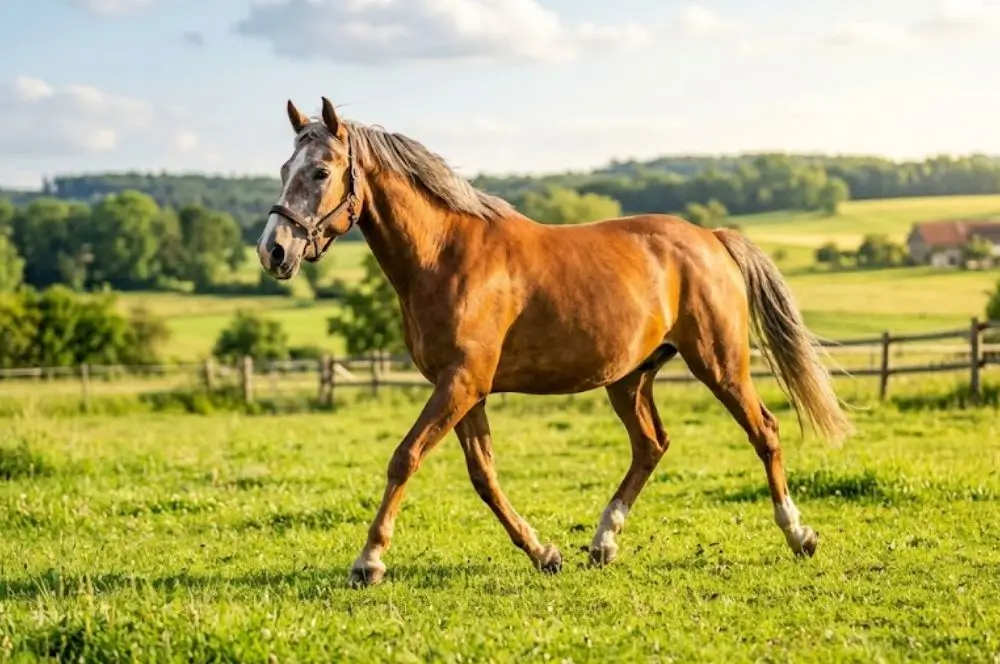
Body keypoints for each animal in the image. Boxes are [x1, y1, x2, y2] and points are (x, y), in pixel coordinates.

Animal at [257, 97, 853, 587]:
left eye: (320, 171)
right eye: (284, 169)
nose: (273, 251)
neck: (446, 255)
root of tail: (711, 238)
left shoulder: (461, 383)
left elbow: (405, 458)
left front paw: (369, 561)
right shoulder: (465, 388)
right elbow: (483, 475)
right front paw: (544, 552)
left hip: (719, 363)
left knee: (765, 431)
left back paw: (798, 534)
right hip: (629, 378)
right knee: (651, 445)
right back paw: (603, 542)